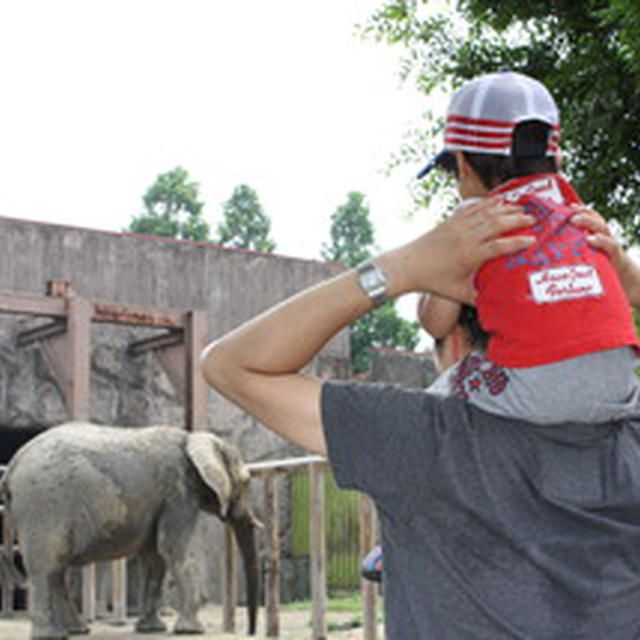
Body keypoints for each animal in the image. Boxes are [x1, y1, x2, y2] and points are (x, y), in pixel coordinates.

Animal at [0, 422, 262, 636]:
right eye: (246, 482)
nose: (250, 631)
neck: (194, 439)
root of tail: (14, 463)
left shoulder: (163, 500)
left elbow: (155, 557)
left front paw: (152, 629)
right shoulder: (178, 493)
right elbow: (171, 550)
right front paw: (191, 631)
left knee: (55, 569)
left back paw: (76, 631)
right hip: (43, 505)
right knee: (46, 567)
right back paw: (51, 635)